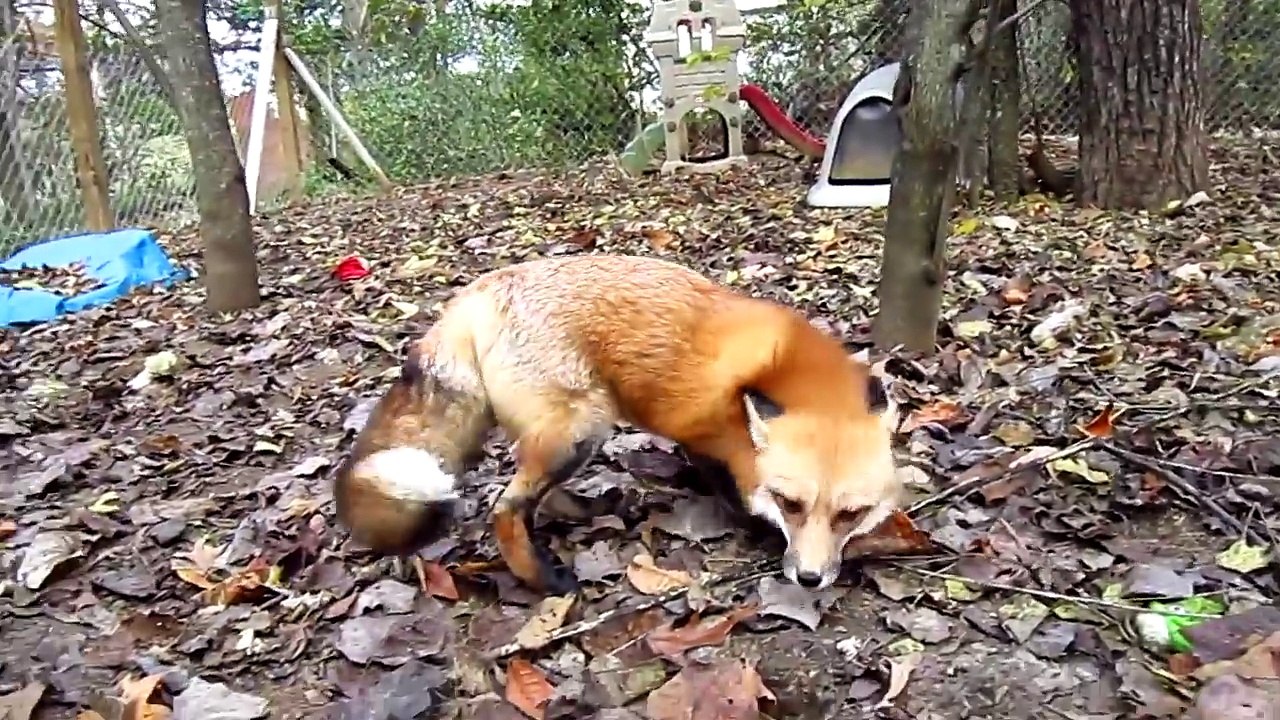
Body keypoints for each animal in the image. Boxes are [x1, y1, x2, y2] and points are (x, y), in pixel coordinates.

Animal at [333, 254, 903, 594]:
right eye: (791, 504)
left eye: (851, 514)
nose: (809, 579)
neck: (790, 372)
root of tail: (480, 290)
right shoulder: (704, 433)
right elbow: (734, 494)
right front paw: (756, 527)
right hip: (582, 429)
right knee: (505, 508)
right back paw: (542, 578)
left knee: (539, 497)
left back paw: (589, 511)